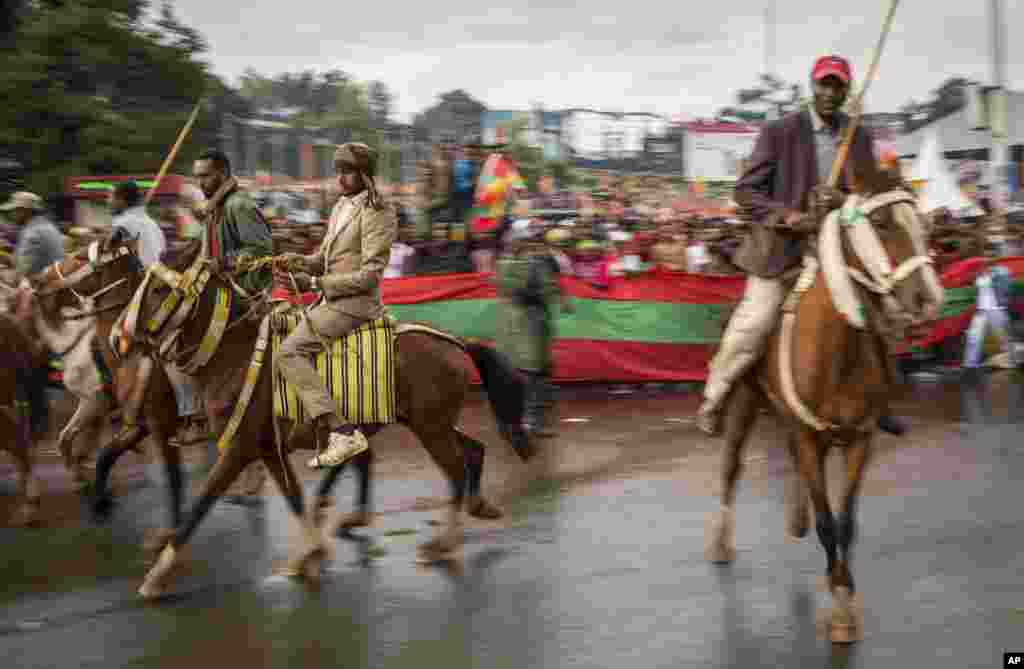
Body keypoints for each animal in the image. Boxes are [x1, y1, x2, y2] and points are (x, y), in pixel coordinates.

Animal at [105, 241, 528, 598]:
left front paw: (156, 576)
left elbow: (201, 504)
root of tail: (456, 343)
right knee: (472, 450)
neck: (235, 354)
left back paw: (441, 543)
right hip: (429, 423)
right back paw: (474, 508)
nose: (116, 338)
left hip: (430, 428)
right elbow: (293, 496)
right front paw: (308, 556)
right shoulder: (267, 449)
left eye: (157, 290)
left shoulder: (240, 449)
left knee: (454, 469)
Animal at [704, 166, 942, 643]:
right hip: (746, 397)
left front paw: (842, 592)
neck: (837, 350)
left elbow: (845, 521)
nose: (927, 299)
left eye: (923, 224)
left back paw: (797, 520)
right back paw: (722, 539)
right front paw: (840, 607)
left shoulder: (859, 439)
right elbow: (827, 521)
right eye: (882, 223)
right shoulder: (807, 434)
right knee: (732, 465)